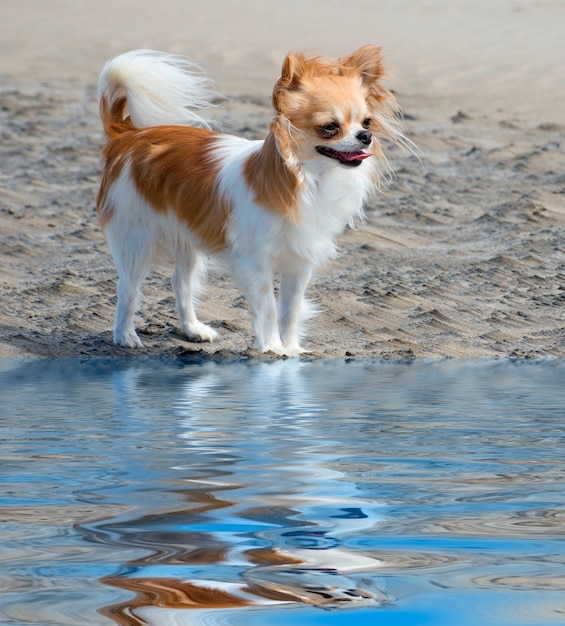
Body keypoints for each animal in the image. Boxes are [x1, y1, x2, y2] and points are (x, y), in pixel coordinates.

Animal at [97, 46, 406, 354]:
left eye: (367, 122)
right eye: (330, 127)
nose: (365, 136)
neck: (308, 181)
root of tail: (129, 136)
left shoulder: (299, 262)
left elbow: (290, 310)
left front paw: (291, 348)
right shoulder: (255, 262)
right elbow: (269, 308)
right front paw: (273, 348)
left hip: (187, 236)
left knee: (180, 282)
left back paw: (193, 329)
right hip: (135, 238)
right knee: (127, 288)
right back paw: (124, 335)